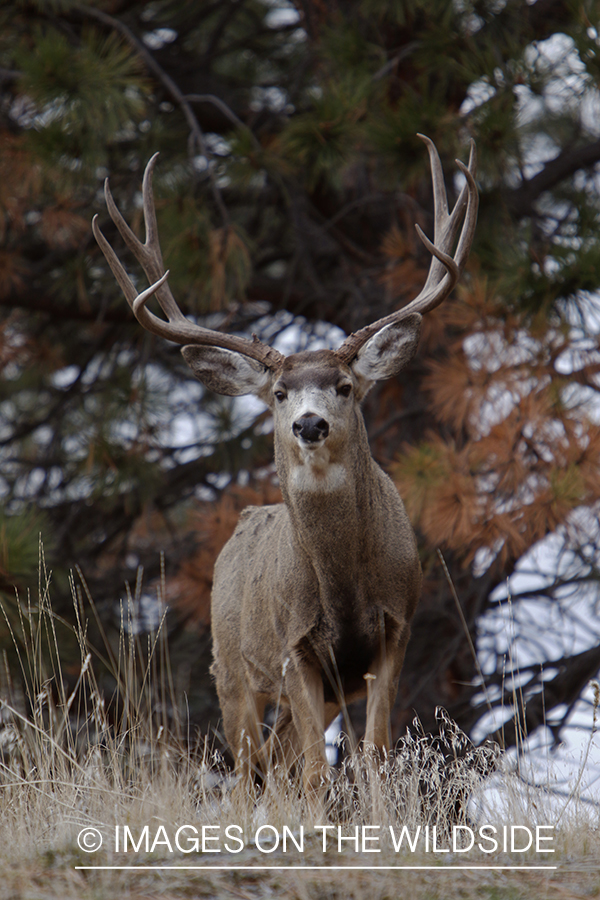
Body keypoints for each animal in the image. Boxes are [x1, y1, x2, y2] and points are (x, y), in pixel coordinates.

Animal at [92, 135, 478, 817]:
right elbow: (318, 775)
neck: (344, 586)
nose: (309, 423)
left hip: (315, 691)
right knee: (254, 765)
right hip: (231, 667)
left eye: (345, 386)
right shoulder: (294, 645)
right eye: (278, 393)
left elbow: (373, 757)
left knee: (277, 761)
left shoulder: (393, 633)